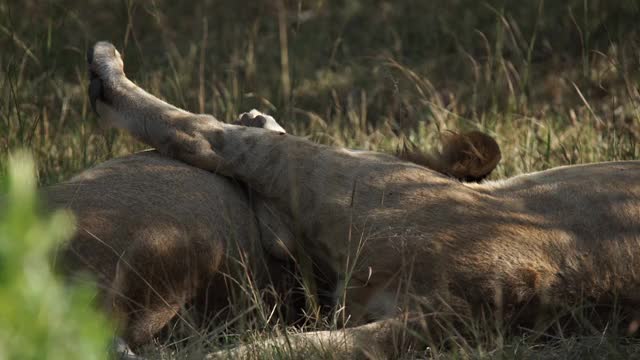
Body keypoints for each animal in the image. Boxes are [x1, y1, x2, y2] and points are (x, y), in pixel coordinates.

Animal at [85, 40, 640, 356]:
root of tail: (475, 303)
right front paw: (261, 117)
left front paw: (255, 119)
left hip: (353, 185)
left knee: (208, 135)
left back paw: (106, 69)